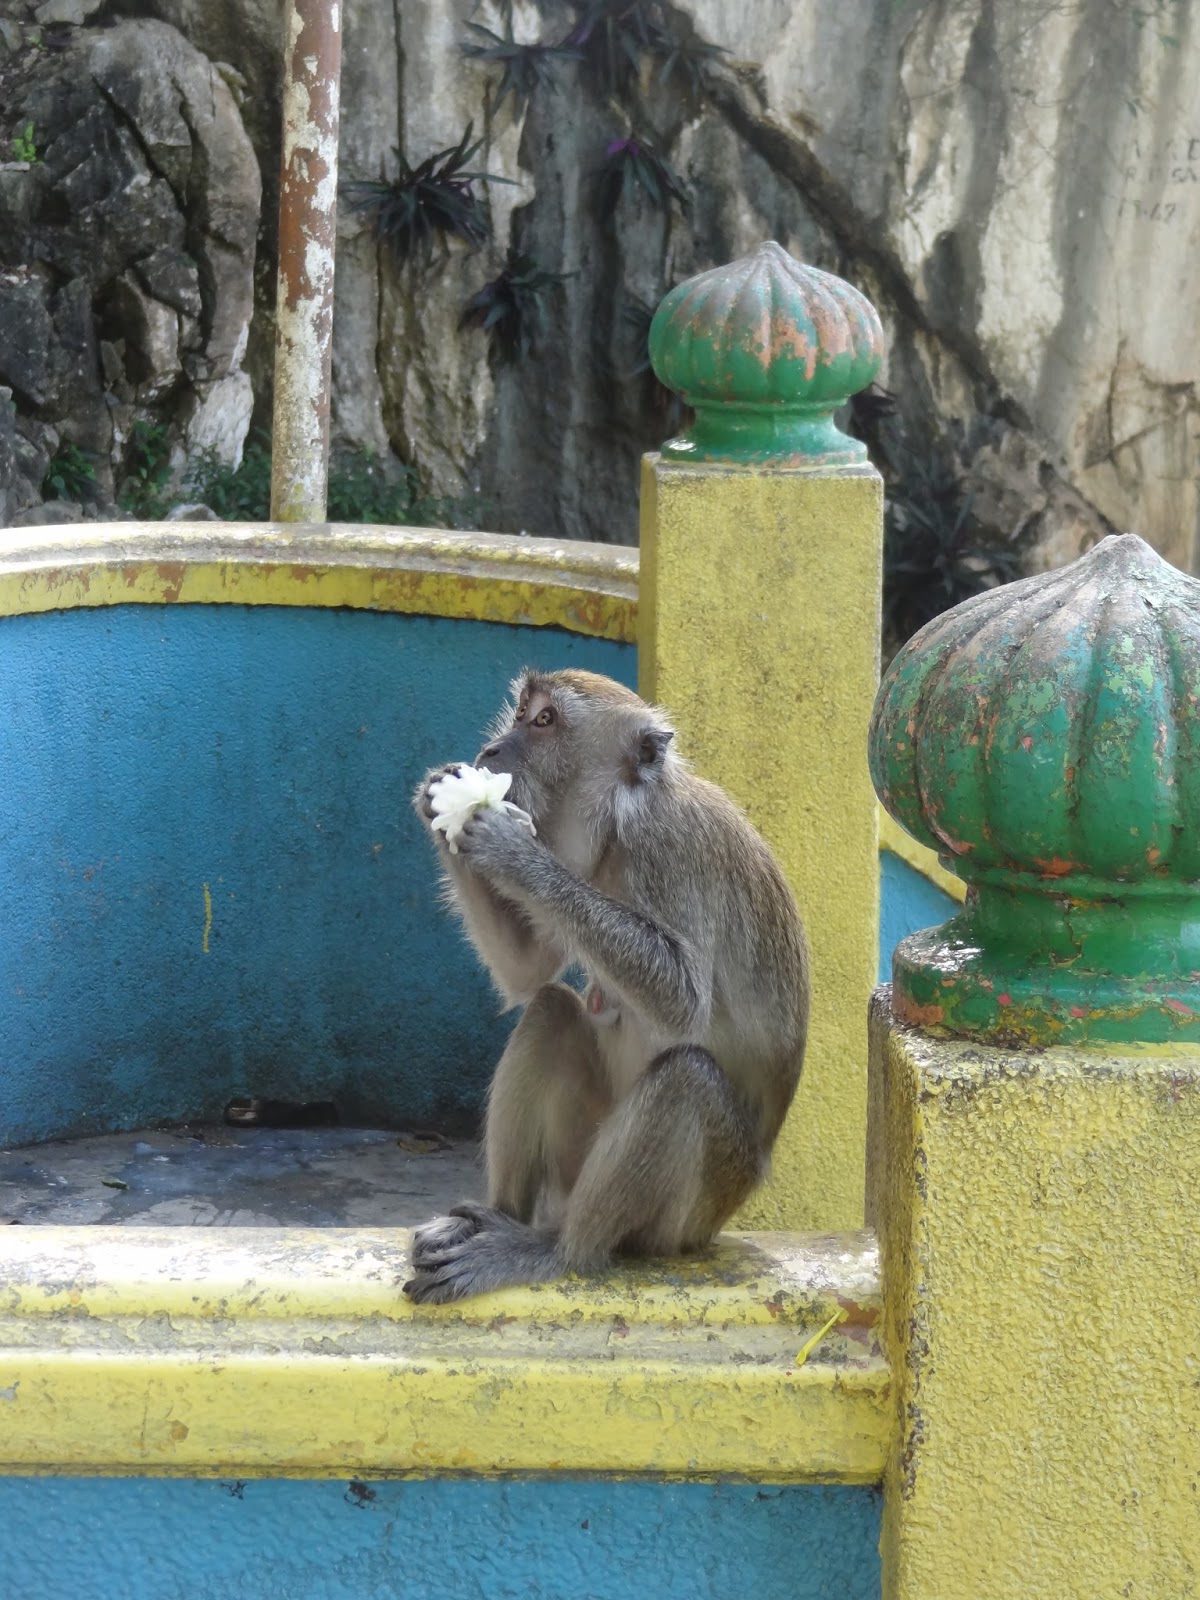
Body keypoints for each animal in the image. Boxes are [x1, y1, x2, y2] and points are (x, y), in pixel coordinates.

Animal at [403, 668, 809, 1304]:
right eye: (520, 713)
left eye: (545, 721)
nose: (491, 751)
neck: (619, 823)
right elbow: (530, 972)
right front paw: (440, 799)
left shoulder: (668, 846)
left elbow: (683, 1002)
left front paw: (508, 847)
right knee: (550, 1009)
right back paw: (499, 1216)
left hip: (692, 1212)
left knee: (687, 1077)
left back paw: (554, 1253)